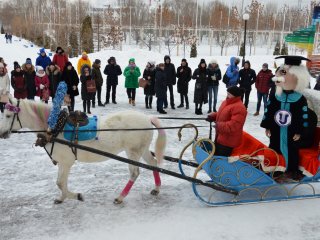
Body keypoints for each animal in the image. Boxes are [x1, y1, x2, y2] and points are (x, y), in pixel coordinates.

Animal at [0, 99, 165, 204]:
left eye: (8, 115)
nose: (1, 133)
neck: (56, 128)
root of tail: (147, 118)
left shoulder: (66, 162)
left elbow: (60, 183)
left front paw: (77, 196)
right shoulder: (63, 162)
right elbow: (60, 182)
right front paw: (62, 198)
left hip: (133, 152)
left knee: (134, 173)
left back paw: (120, 197)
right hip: (142, 150)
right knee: (153, 163)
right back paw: (156, 189)